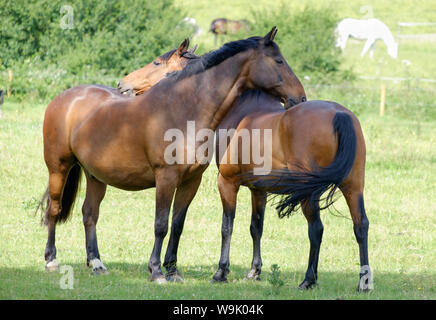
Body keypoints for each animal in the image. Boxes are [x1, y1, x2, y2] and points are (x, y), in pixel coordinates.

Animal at [40, 26, 306, 282]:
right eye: (279, 61)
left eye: (157, 62)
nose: (300, 97)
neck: (183, 111)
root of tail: (66, 97)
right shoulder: (166, 179)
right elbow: (161, 224)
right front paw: (156, 271)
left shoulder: (191, 181)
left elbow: (177, 225)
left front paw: (172, 270)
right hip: (58, 168)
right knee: (54, 208)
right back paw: (51, 260)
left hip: (96, 176)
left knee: (90, 214)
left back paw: (96, 263)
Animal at [211, 90, 372, 292]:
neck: (245, 111)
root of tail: (339, 114)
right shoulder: (258, 190)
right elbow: (256, 227)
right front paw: (254, 272)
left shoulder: (226, 183)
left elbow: (227, 227)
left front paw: (221, 272)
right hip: (353, 187)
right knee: (360, 226)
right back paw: (363, 284)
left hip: (309, 194)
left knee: (316, 229)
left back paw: (308, 280)